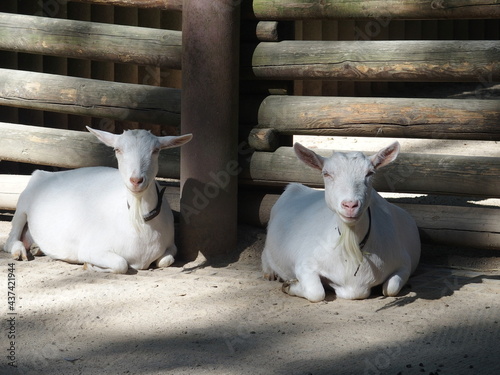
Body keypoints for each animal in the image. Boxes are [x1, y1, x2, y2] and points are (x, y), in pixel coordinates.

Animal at [3, 126, 191, 274]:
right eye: (117, 150)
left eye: (156, 150)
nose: (136, 180)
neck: (137, 221)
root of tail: (43, 173)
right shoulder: (91, 248)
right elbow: (121, 264)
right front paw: (89, 266)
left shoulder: (171, 245)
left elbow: (166, 260)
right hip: (23, 204)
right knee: (9, 239)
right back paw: (19, 251)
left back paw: (37, 248)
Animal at [262, 141, 422, 302]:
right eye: (326, 173)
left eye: (370, 173)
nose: (350, 205)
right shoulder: (305, 263)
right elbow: (316, 292)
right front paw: (289, 285)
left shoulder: (403, 263)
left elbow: (390, 289)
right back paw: (271, 273)